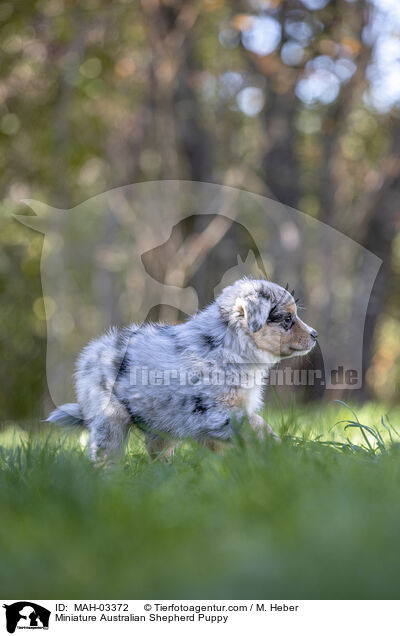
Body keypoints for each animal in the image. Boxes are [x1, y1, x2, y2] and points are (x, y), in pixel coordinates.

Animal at [47, 278, 318, 462]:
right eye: (287, 319)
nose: (315, 335)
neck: (229, 346)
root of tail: (90, 354)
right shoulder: (216, 413)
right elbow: (259, 426)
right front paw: (282, 450)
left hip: (161, 424)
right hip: (110, 419)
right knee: (105, 456)